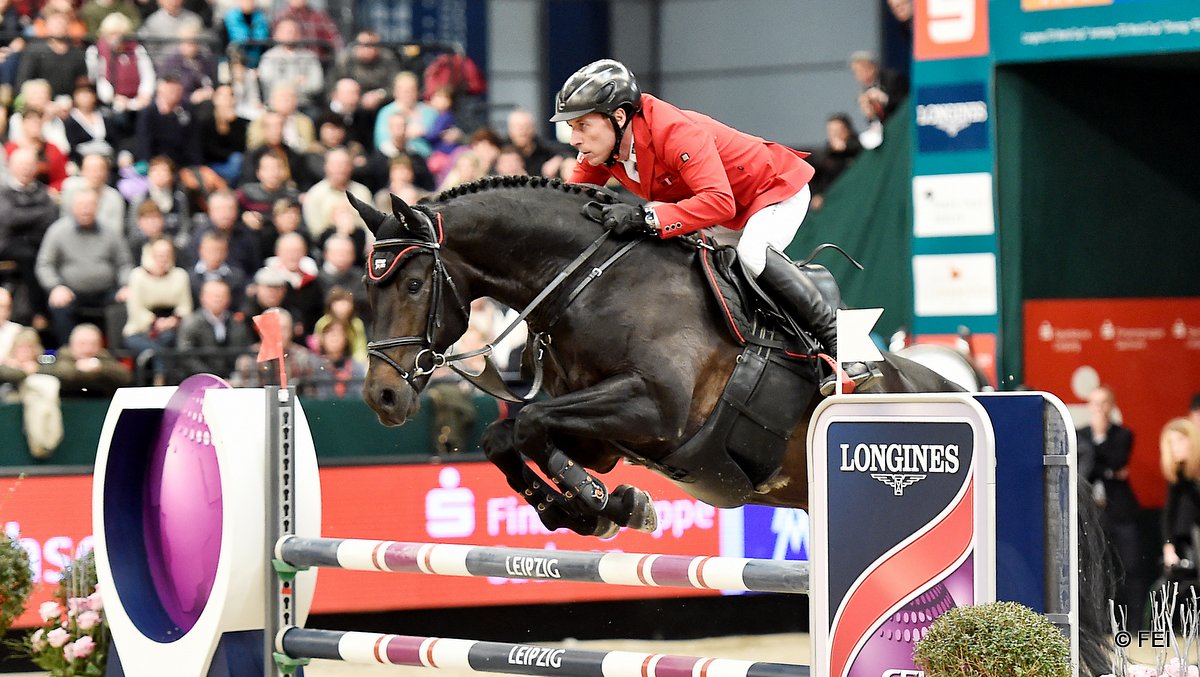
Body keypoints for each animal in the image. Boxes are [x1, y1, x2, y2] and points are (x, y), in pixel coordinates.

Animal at [350, 176, 1108, 677]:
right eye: (366, 288)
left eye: (412, 284)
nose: (382, 396)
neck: (587, 283)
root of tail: (955, 385)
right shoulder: (605, 433)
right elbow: (507, 436)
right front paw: (597, 506)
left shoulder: (656, 409)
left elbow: (530, 422)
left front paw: (602, 505)